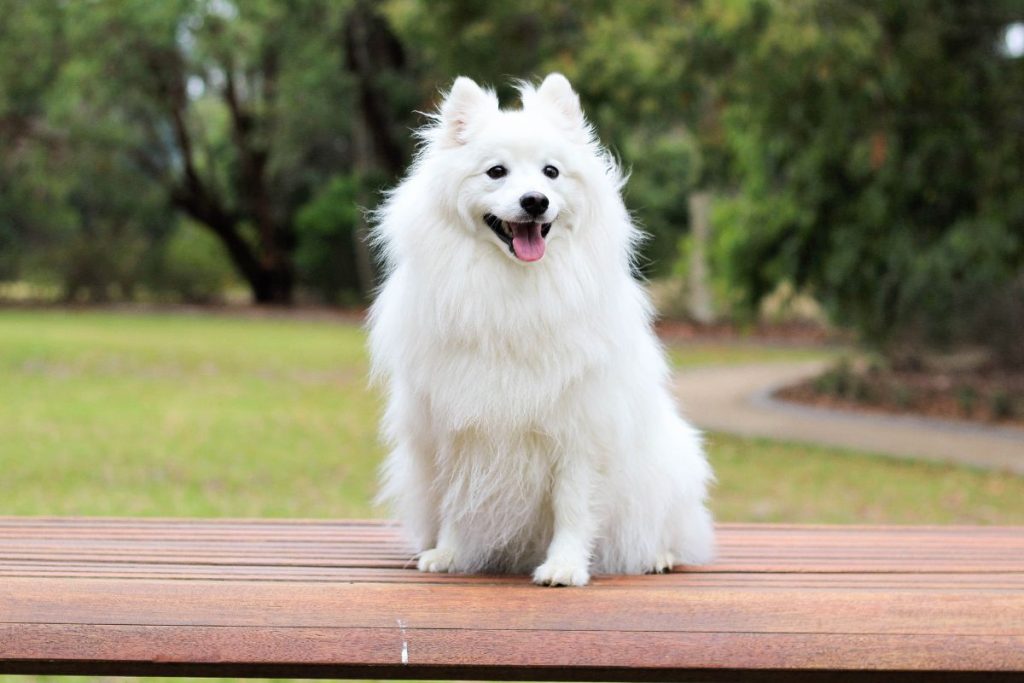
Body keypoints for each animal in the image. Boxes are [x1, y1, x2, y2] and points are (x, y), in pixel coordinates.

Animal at [368, 76, 712, 589]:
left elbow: (573, 506)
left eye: (551, 172)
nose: (535, 201)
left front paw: (565, 566)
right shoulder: (454, 428)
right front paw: (449, 553)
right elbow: (457, 499)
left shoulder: (579, 430)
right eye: (496, 172)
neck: (515, 288)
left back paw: (658, 555)